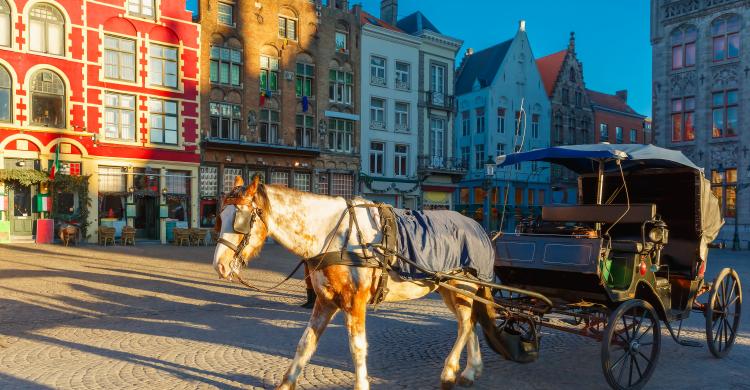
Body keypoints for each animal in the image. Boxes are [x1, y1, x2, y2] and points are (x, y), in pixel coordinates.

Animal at [214, 177, 502, 390]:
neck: (335, 235)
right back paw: (471, 370)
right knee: (470, 322)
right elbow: (305, 343)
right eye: (219, 216)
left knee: (465, 324)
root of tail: (478, 226)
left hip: (462, 287)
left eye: (240, 220)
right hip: (448, 290)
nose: (219, 265)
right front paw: (287, 383)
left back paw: (449, 372)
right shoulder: (325, 301)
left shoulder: (355, 303)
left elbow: (357, 347)